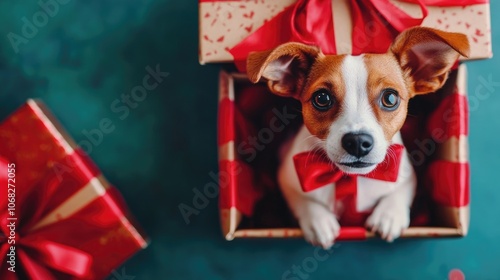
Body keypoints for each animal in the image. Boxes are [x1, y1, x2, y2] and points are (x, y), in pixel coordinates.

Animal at [246, 27, 468, 248]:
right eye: (322, 98)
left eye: (390, 98)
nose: (358, 142)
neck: (352, 178)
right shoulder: (287, 176)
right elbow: (300, 198)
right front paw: (317, 219)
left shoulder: (406, 173)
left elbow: (402, 189)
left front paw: (390, 213)